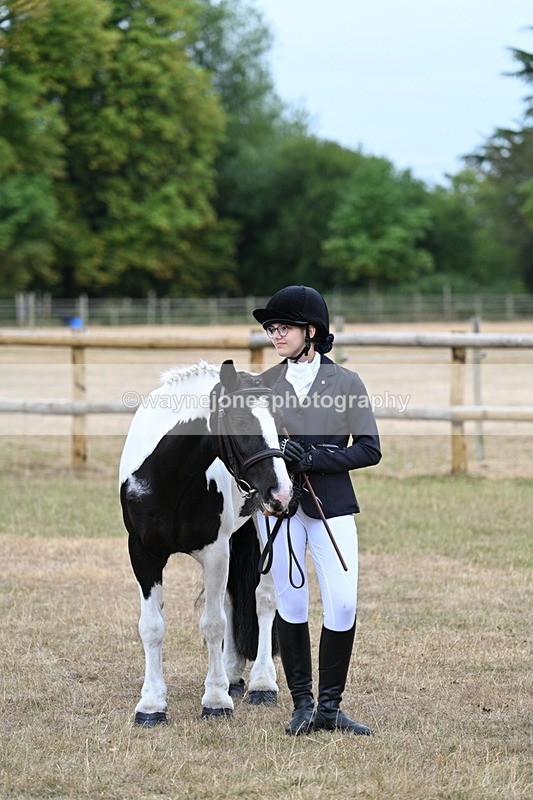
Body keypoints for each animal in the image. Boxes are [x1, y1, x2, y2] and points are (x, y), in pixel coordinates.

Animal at [119, 359, 292, 726]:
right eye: (239, 420)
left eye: (279, 420)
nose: (282, 493)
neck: (168, 479)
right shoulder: (142, 553)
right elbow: (152, 626)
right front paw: (151, 705)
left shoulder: (215, 552)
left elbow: (214, 624)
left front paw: (215, 700)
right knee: (232, 599)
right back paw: (232, 676)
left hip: (265, 530)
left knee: (264, 599)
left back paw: (261, 683)